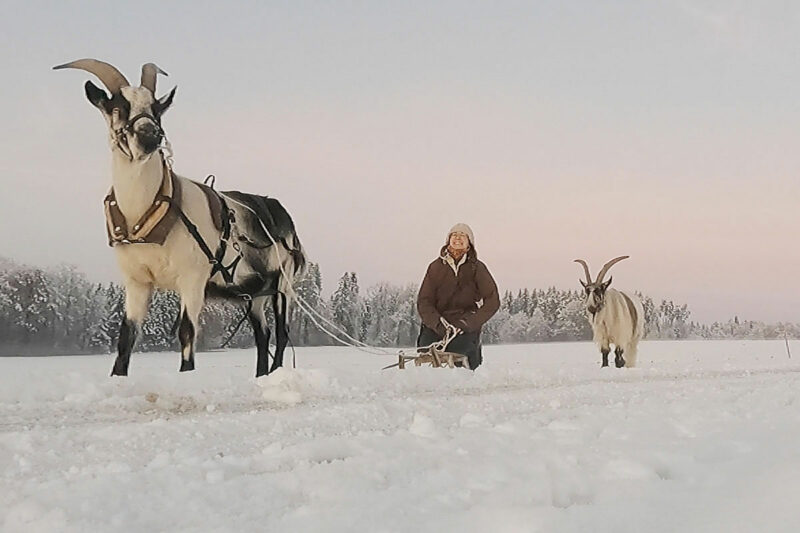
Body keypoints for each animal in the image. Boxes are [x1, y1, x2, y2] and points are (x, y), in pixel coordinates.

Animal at [55, 58, 306, 376]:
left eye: (156, 109)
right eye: (117, 107)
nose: (151, 135)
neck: (147, 213)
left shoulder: (192, 278)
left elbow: (187, 332)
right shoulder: (137, 281)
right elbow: (126, 337)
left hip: (283, 286)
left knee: (282, 333)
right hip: (254, 294)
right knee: (263, 334)